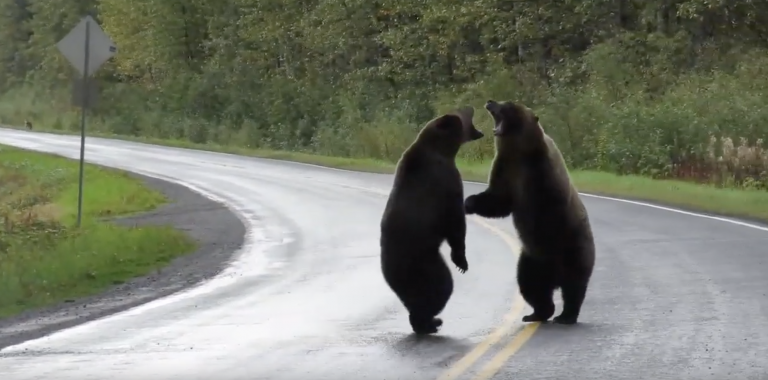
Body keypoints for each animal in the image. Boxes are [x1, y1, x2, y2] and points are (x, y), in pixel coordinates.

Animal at [380, 105, 484, 334]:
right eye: (462, 112)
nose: (471, 106)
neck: (443, 150)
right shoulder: (446, 179)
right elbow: (455, 221)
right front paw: (461, 261)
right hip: (425, 264)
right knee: (441, 287)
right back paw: (430, 322)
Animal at [462, 99, 592, 326]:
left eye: (508, 105)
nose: (490, 102)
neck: (519, 152)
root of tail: (554, 277)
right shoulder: (506, 170)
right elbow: (497, 200)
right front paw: (468, 203)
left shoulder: (542, 174)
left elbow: (547, 209)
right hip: (532, 261)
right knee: (531, 285)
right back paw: (537, 313)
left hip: (574, 249)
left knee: (574, 285)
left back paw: (566, 315)